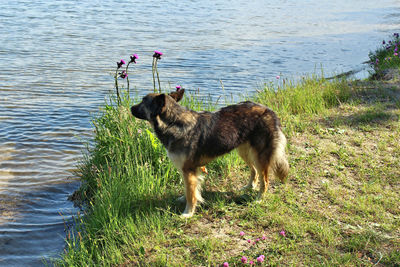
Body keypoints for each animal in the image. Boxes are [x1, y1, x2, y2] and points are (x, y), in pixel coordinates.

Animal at [130, 89, 288, 219]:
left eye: (143, 101)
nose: (130, 107)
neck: (173, 122)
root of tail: (270, 111)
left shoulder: (188, 170)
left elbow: (191, 194)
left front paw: (188, 213)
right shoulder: (187, 171)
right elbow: (189, 190)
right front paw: (184, 200)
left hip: (260, 156)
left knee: (265, 180)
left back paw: (259, 198)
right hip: (244, 151)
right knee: (253, 171)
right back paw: (249, 187)